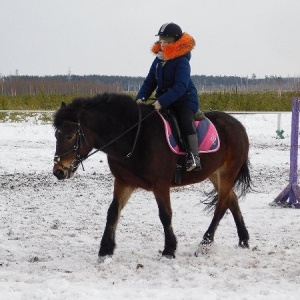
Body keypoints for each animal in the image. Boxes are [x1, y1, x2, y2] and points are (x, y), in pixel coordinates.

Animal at [52, 92, 251, 258]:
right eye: (56, 135)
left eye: (70, 136)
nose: (58, 171)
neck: (134, 137)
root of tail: (238, 125)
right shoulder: (123, 182)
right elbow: (113, 212)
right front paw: (105, 249)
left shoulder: (160, 184)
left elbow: (165, 214)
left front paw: (169, 250)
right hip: (215, 174)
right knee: (232, 199)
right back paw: (243, 240)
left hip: (227, 173)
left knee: (222, 205)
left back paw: (206, 242)